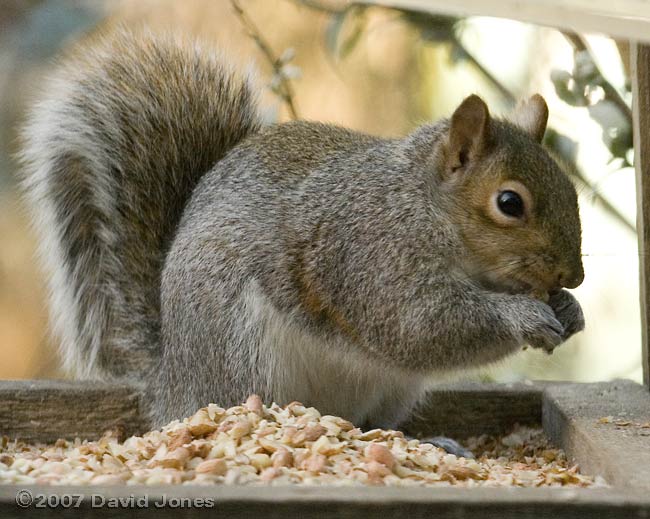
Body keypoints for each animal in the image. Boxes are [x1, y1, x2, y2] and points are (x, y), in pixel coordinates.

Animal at [19, 28, 584, 434]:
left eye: (571, 189)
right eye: (509, 203)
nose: (574, 276)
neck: (423, 207)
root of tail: (173, 385)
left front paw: (568, 310)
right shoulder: (369, 255)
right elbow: (420, 327)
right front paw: (524, 317)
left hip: (391, 389)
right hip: (240, 350)